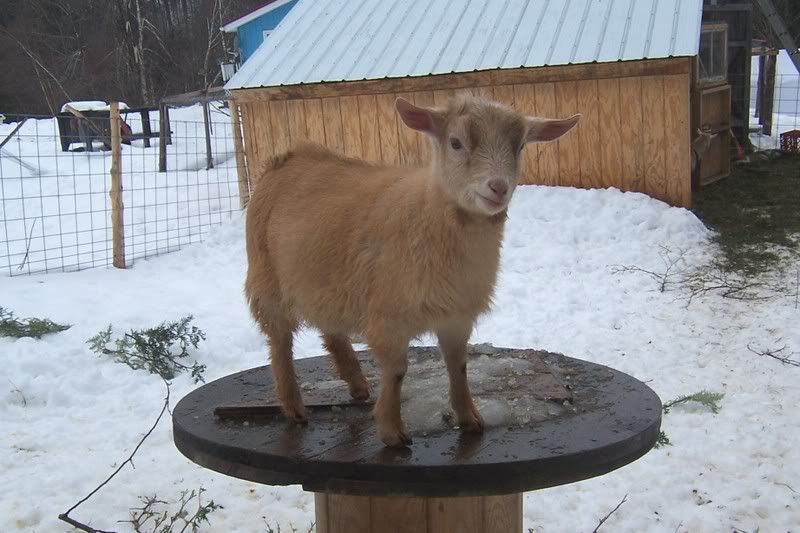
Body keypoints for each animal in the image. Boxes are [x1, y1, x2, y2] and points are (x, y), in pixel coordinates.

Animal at [244, 93, 579, 446]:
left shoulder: (457, 316)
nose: (498, 187)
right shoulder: (389, 318)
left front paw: (470, 418)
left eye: (520, 146)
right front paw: (392, 432)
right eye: (456, 142)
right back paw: (294, 406)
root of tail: (286, 157)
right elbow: (396, 372)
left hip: (325, 282)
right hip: (266, 281)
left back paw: (357, 383)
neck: (429, 215)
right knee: (280, 343)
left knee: (330, 329)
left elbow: (458, 366)